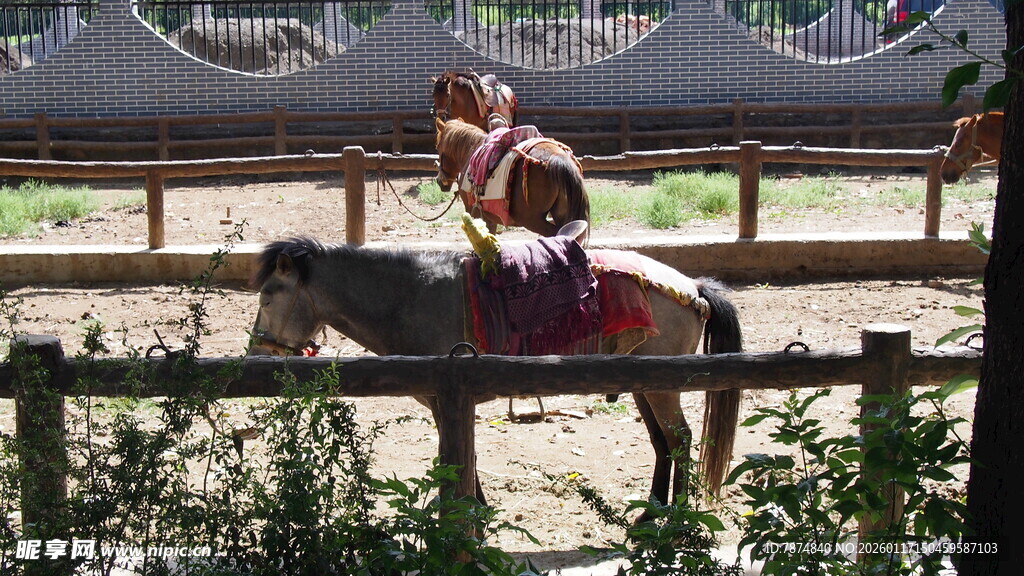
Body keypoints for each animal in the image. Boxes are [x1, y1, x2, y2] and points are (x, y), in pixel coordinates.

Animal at [246, 236, 743, 512]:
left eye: (269, 295)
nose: (256, 354)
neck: (411, 296)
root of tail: (693, 287)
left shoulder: (447, 396)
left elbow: (456, 455)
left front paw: (470, 510)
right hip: (645, 381)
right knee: (663, 443)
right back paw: (653, 510)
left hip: (662, 385)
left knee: (680, 439)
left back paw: (672, 519)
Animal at [435, 117, 591, 242]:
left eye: (437, 146)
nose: (440, 181)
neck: (471, 151)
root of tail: (557, 158)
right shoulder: (489, 217)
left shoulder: (474, 213)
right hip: (562, 214)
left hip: (532, 219)